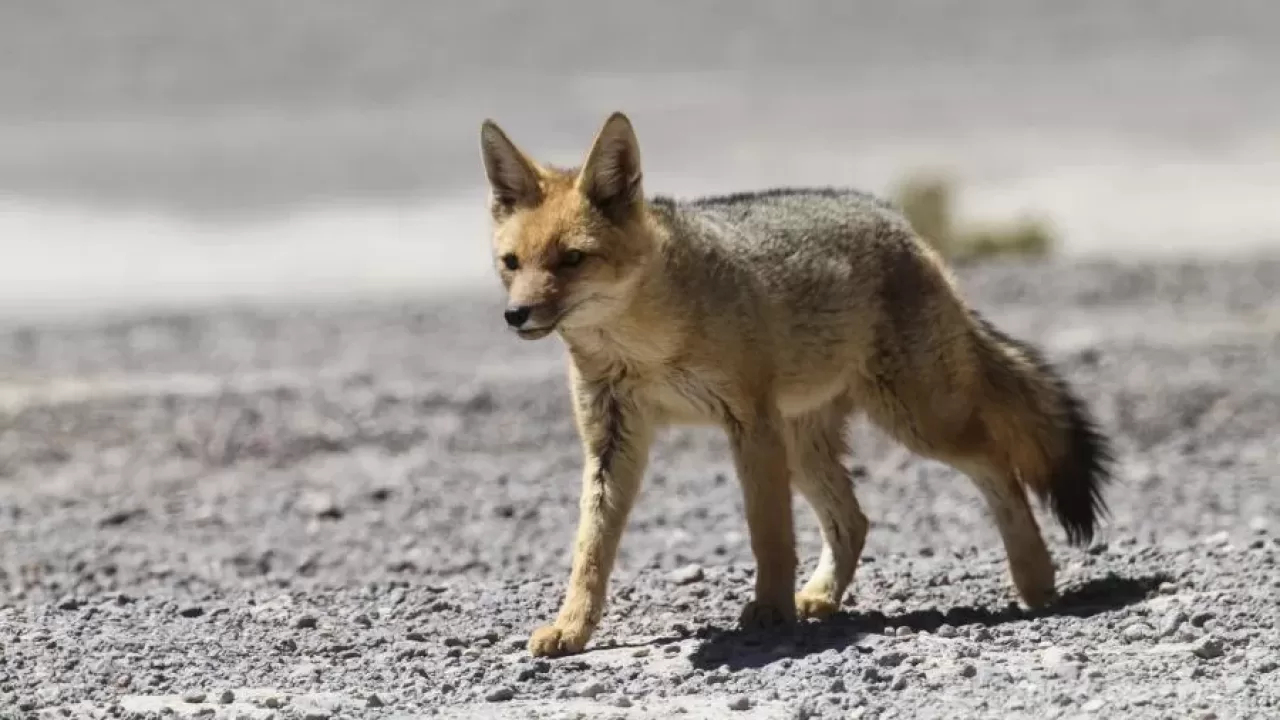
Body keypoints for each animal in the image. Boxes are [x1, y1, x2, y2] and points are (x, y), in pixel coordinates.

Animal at [476, 112, 1116, 655]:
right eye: (512, 263)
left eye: (571, 260)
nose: (514, 316)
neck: (646, 346)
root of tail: (901, 225)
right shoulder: (611, 440)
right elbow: (591, 547)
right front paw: (571, 627)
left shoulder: (749, 424)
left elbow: (768, 533)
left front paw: (769, 610)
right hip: (807, 447)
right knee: (855, 520)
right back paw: (823, 596)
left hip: (918, 423)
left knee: (999, 467)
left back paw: (1035, 581)